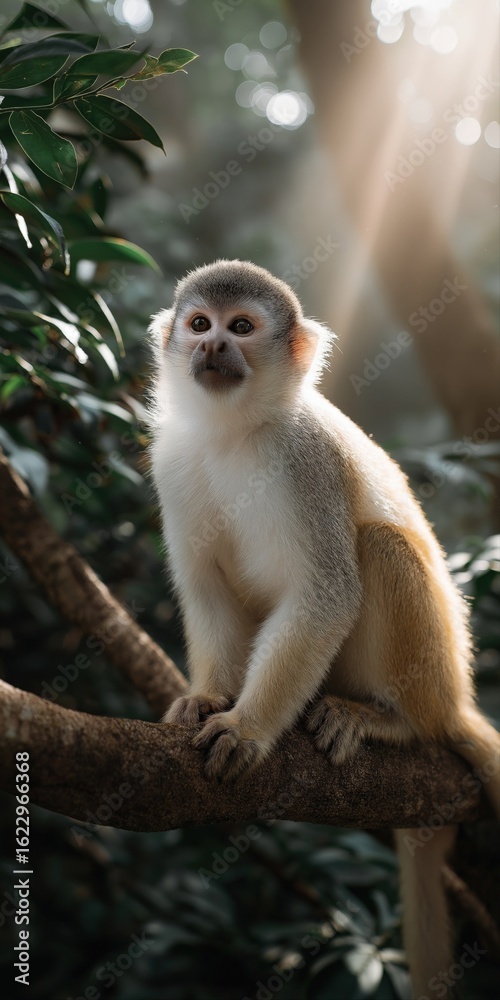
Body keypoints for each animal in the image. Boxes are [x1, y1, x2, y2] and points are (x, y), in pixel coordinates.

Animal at [149, 258, 500, 999]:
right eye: (199, 323)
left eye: (241, 327)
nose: (211, 347)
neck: (234, 432)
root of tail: (457, 701)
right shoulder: (172, 457)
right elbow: (205, 588)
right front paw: (208, 698)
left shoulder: (303, 458)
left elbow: (327, 595)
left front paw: (248, 729)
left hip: (434, 683)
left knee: (379, 548)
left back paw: (393, 722)